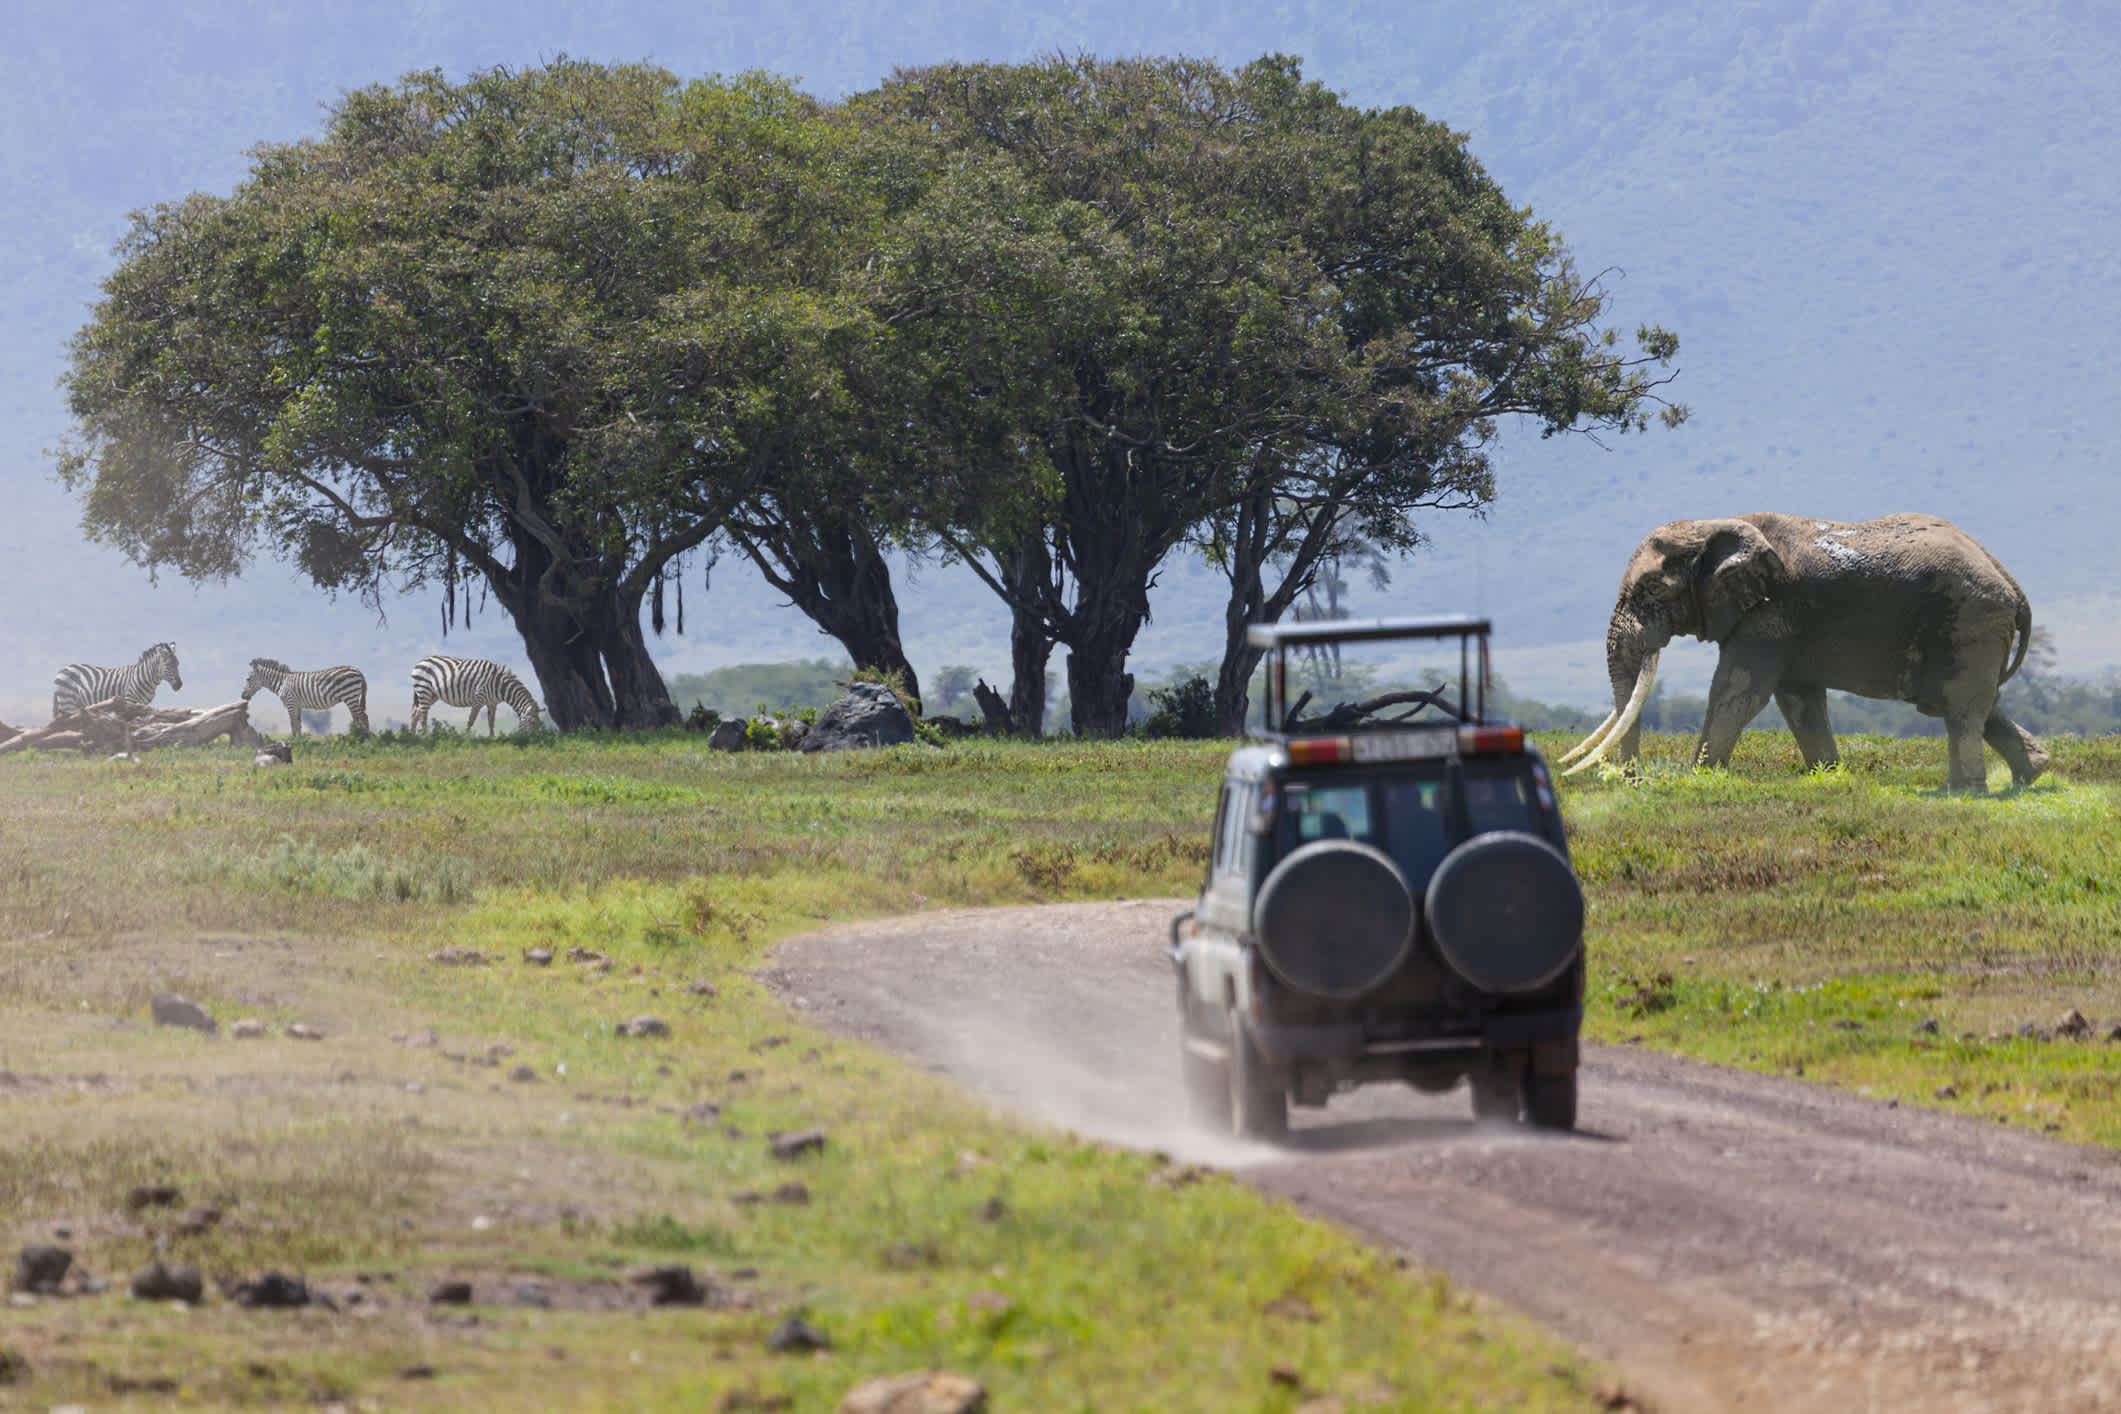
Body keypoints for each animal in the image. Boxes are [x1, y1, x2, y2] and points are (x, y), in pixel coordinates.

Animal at [50, 640, 182, 720]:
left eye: (178, 664)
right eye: (168, 665)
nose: (179, 685)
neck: (145, 677)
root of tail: (62, 670)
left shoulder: (143, 704)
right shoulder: (130, 700)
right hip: (67, 702)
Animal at [242, 657, 371, 737]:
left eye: (248, 679)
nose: (243, 696)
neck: (282, 683)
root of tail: (357, 670)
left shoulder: (291, 703)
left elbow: (293, 723)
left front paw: (293, 741)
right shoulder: (298, 705)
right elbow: (299, 724)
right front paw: (300, 740)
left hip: (350, 696)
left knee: (363, 717)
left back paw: (366, 739)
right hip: (351, 698)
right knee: (356, 718)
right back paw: (356, 736)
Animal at [402, 657, 538, 737]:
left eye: (537, 723)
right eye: (532, 722)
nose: (533, 740)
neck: (500, 686)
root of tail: (420, 662)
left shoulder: (492, 703)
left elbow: (491, 721)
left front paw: (492, 737)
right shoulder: (479, 698)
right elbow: (471, 720)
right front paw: (466, 736)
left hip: (431, 694)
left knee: (416, 712)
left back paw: (412, 735)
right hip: (424, 689)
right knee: (422, 714)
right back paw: (425, 735)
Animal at [1569, 510, 2044, 797]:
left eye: (1652, 589)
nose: (1632, 782)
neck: (1717, 523)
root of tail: (2012, 583)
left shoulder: (1771, 612)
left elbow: (1737, 691)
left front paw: (1699, 778)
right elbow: (1798, 699)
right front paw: (1830, 778)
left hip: (1971, 618)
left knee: (1959, 707)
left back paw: (1963, 792)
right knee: (1967, 704)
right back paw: (2029, 774)